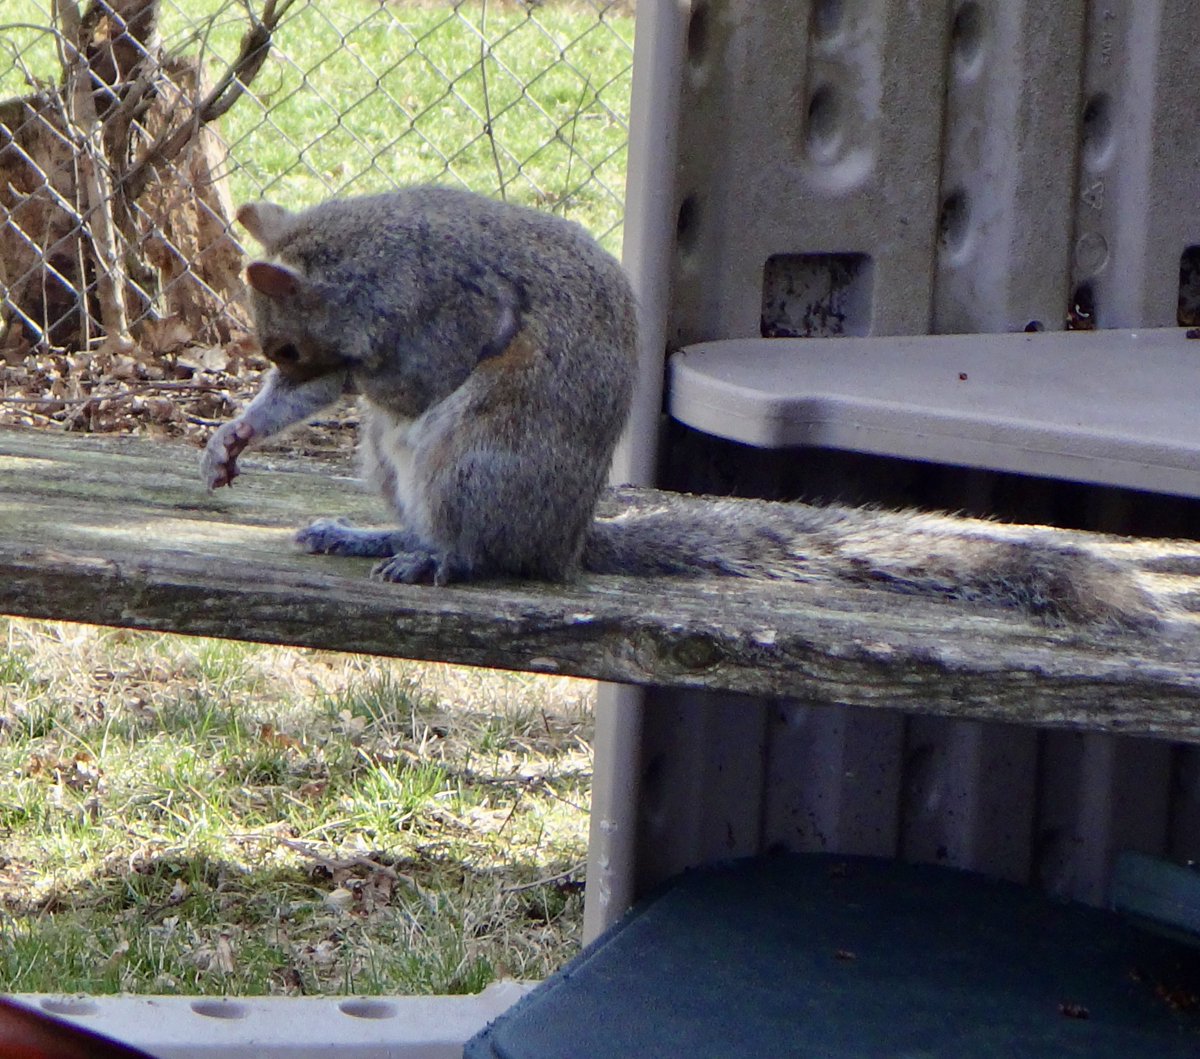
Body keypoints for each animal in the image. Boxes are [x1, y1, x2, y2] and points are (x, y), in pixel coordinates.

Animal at [202, 187, 1163, 630]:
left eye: (282, 348)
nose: (273, 369)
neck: (367, 257)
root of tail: (568, 539)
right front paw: (237, 433)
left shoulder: (453, 303)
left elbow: (419, 373)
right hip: (400, 467)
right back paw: (371, 535)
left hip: (479, 462)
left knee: (487, 551)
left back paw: (439, 559)